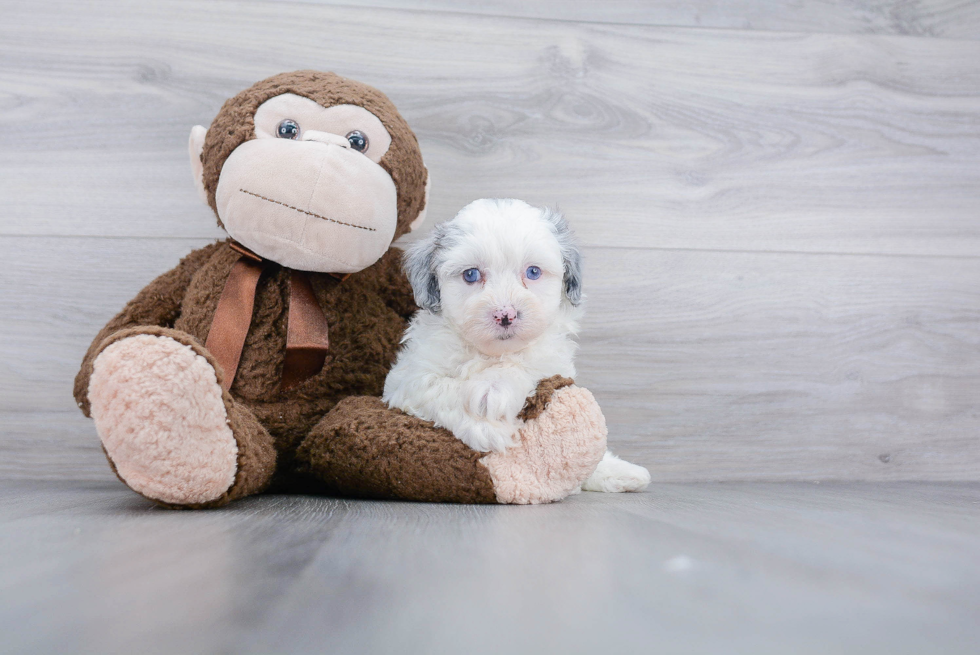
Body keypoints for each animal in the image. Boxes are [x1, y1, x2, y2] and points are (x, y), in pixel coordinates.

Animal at [382, 197, 652, 494]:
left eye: (533, 272)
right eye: (471, 274)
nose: (505, 315)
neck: (492, 354)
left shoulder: (551, 366)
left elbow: (523, 368)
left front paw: (610, 469)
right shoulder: (408, 378)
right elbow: (439, 388)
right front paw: (486, 428)